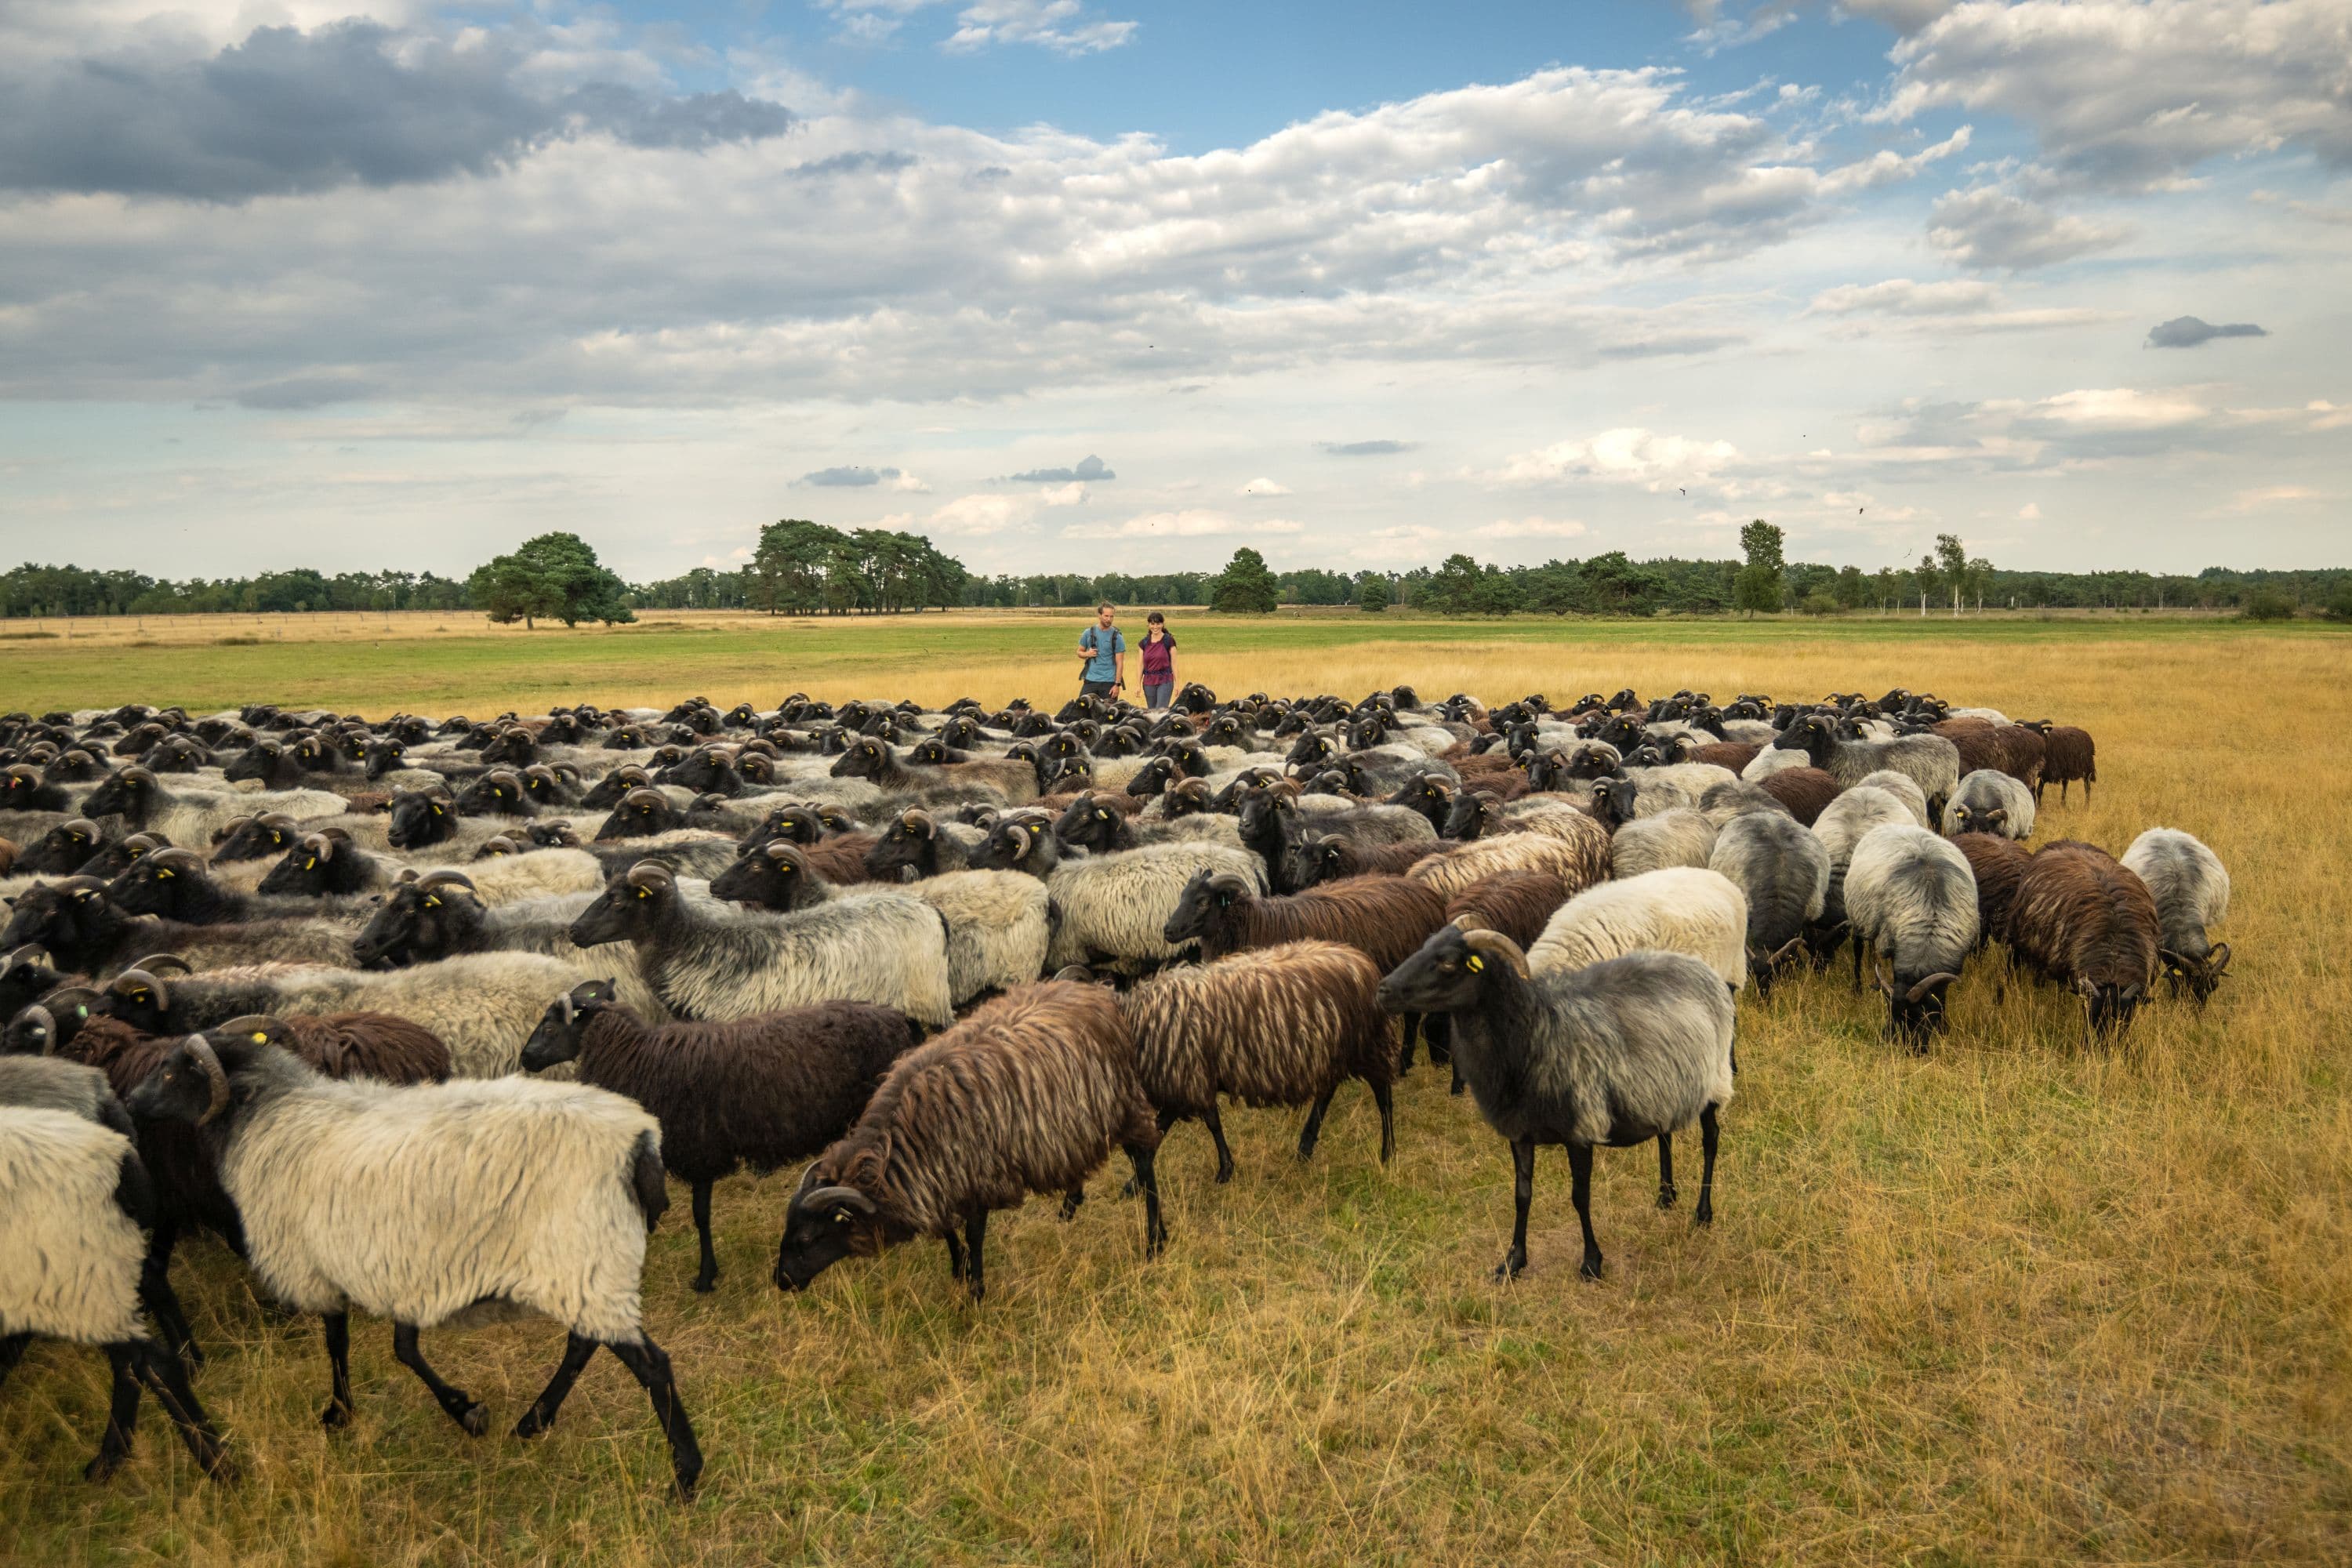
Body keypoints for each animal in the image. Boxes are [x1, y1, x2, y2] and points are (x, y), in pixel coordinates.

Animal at [129, 1029, 696, 1495]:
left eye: (173, 1070)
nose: (131, 1101)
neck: (266, 1114)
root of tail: (640, 1140)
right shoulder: (400, 1263)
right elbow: (400, 1347)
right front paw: (460, 1410)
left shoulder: (322, 1266)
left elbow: (343, 1343)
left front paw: (351, 1412)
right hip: (587, 1263)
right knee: (584, 1343)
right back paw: (534, 1421)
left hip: (585, 1255)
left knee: (649, 1365)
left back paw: (686, 1477)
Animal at [781, 982, 1167, 1298]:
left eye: (807, 1237)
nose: (780, 1281)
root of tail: (1099, 993)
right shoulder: (940, 1183)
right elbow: (950, 1233)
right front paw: (958, 1272)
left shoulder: (978, 1178)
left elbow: (974, 1236)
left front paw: (976, 1291)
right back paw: (1070, 1208)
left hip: (1123, 1106)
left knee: (1145, 1162)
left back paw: (1154, 1241)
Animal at [1374, 926, 1731, 1279]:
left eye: (1448, 961)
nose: (1382, 990)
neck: (1534, 1033)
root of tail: (1700, 967)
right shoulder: (1519, 1132)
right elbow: (1522, 1195)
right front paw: (1513, 1262)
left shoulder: (1581, 1129)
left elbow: (1580, 1197)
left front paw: (1591, 1263)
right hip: (1661, 1086)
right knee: (1664, 1135)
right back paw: (1666, 1196)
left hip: (1715, 1079)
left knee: (1710, 1140)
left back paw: (1703, 1213)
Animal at [1844, 827, 1976, 1048]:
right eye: (1890, 1011)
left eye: (1919, 1015)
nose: (1891, 1043)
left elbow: (1942, 997)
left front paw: (1943, 1028)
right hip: (1860, 921)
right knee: (1858, 949)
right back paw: (1857, 988)